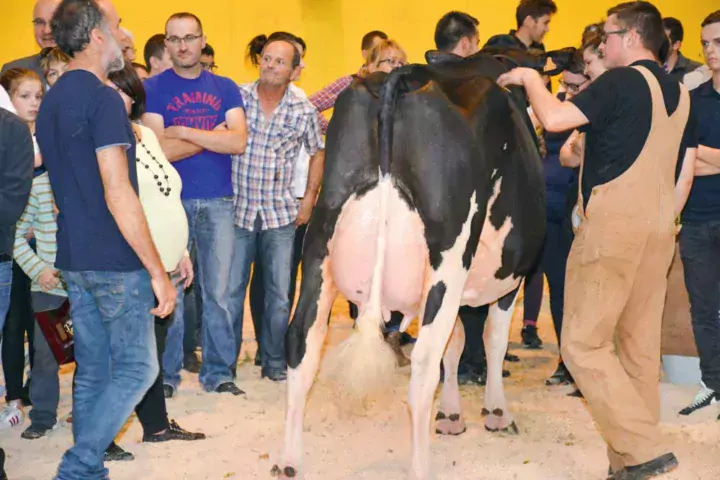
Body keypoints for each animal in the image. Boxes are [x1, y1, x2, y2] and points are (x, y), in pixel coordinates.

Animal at [272, 47, 572, 478]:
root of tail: (404, 76)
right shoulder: (508, 276)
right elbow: (490, 340)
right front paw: (495, 412)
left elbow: (457, 343)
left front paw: (450, 415)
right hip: (447, 256)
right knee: (424, 362)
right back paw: (420, 465)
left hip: (319, 242)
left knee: (301, 342)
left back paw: (288, 460)